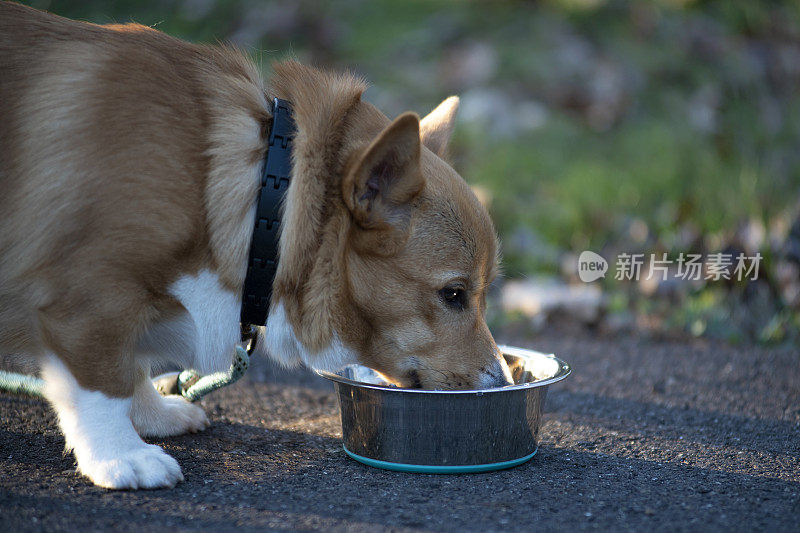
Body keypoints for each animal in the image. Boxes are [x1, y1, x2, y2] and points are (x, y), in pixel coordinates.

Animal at [0, 2, 512, 488]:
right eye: (453, 295)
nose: (502, 382)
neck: (264, 195)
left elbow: (133, 369)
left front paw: (154, 415)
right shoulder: (90, 299)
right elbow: (105, 383)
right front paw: (121, 456)